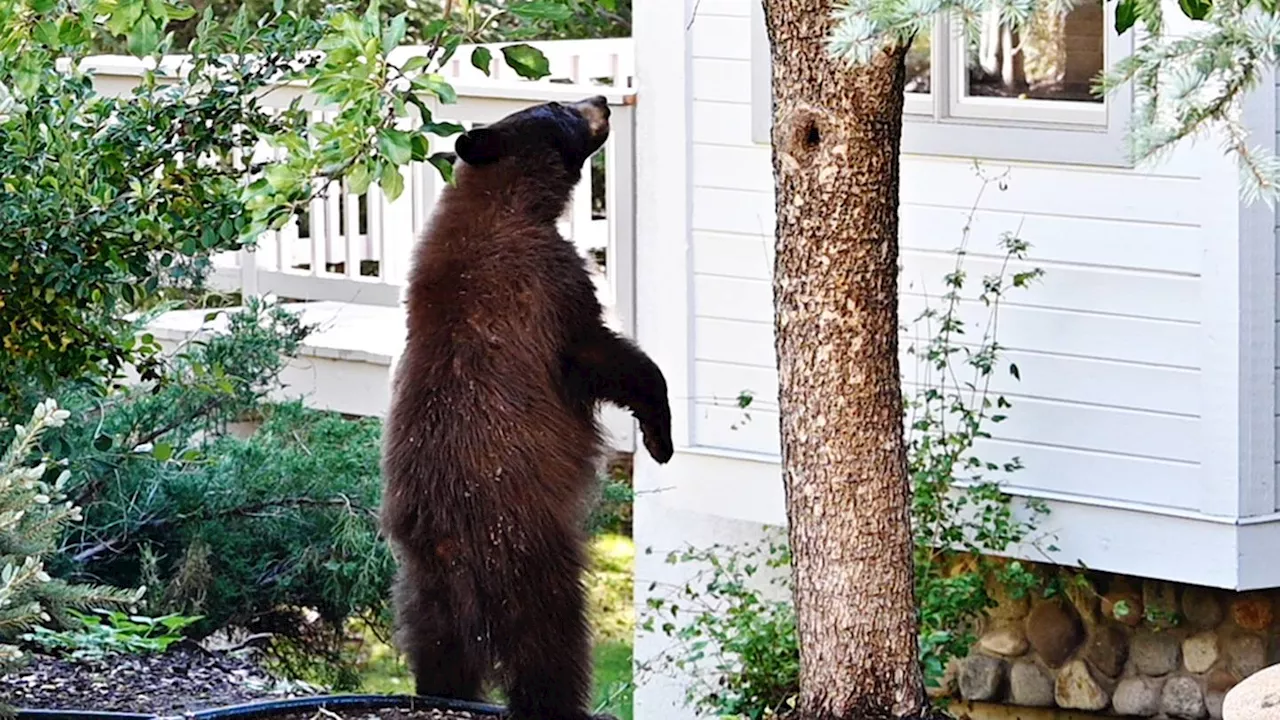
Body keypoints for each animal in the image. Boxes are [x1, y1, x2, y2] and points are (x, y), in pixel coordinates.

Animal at [378, 95, 675, 717]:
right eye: (557, 105)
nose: (601, 98)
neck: (503, 200)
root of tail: (450, 542)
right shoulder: (548, 281)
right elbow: (602, 355)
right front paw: (659, 436)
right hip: (530, 563)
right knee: (552, 649)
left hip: (420, 586)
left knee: (436, 649)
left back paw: (440, 692)